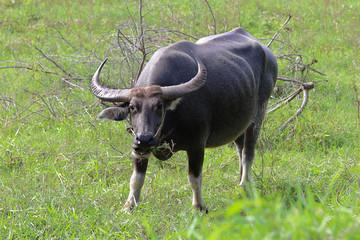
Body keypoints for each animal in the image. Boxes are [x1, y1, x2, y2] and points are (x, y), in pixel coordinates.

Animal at [91, 28, 278, 212]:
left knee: (248, 152)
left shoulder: (197, 145)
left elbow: (194, 178)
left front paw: (199, 207)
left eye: (159, 106)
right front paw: (129, 205)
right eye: (132, 107)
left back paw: (244, 185)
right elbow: (136, 178)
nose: (144, 138)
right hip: (239, 122)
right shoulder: (137, 149)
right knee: (240, 147)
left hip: (258, 115)